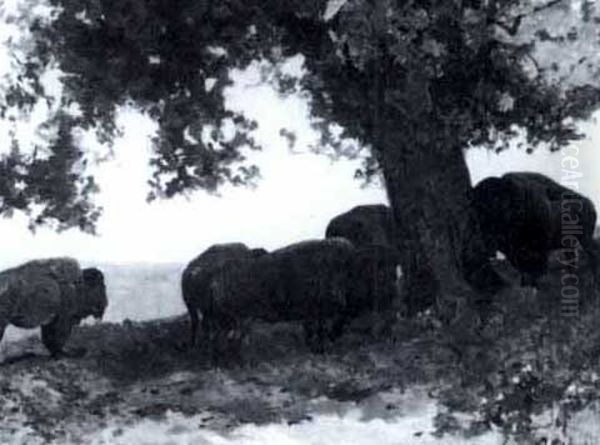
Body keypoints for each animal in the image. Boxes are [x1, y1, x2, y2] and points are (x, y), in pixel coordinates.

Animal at [205, 239, 398, 358]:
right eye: (378, 273)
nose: (392, 295)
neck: (346, 267)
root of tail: (216, 280)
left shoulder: (319, 314)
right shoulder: (318, 312)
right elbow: (318, 331)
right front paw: (320, 348)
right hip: (239, 319)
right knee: (230, 340)